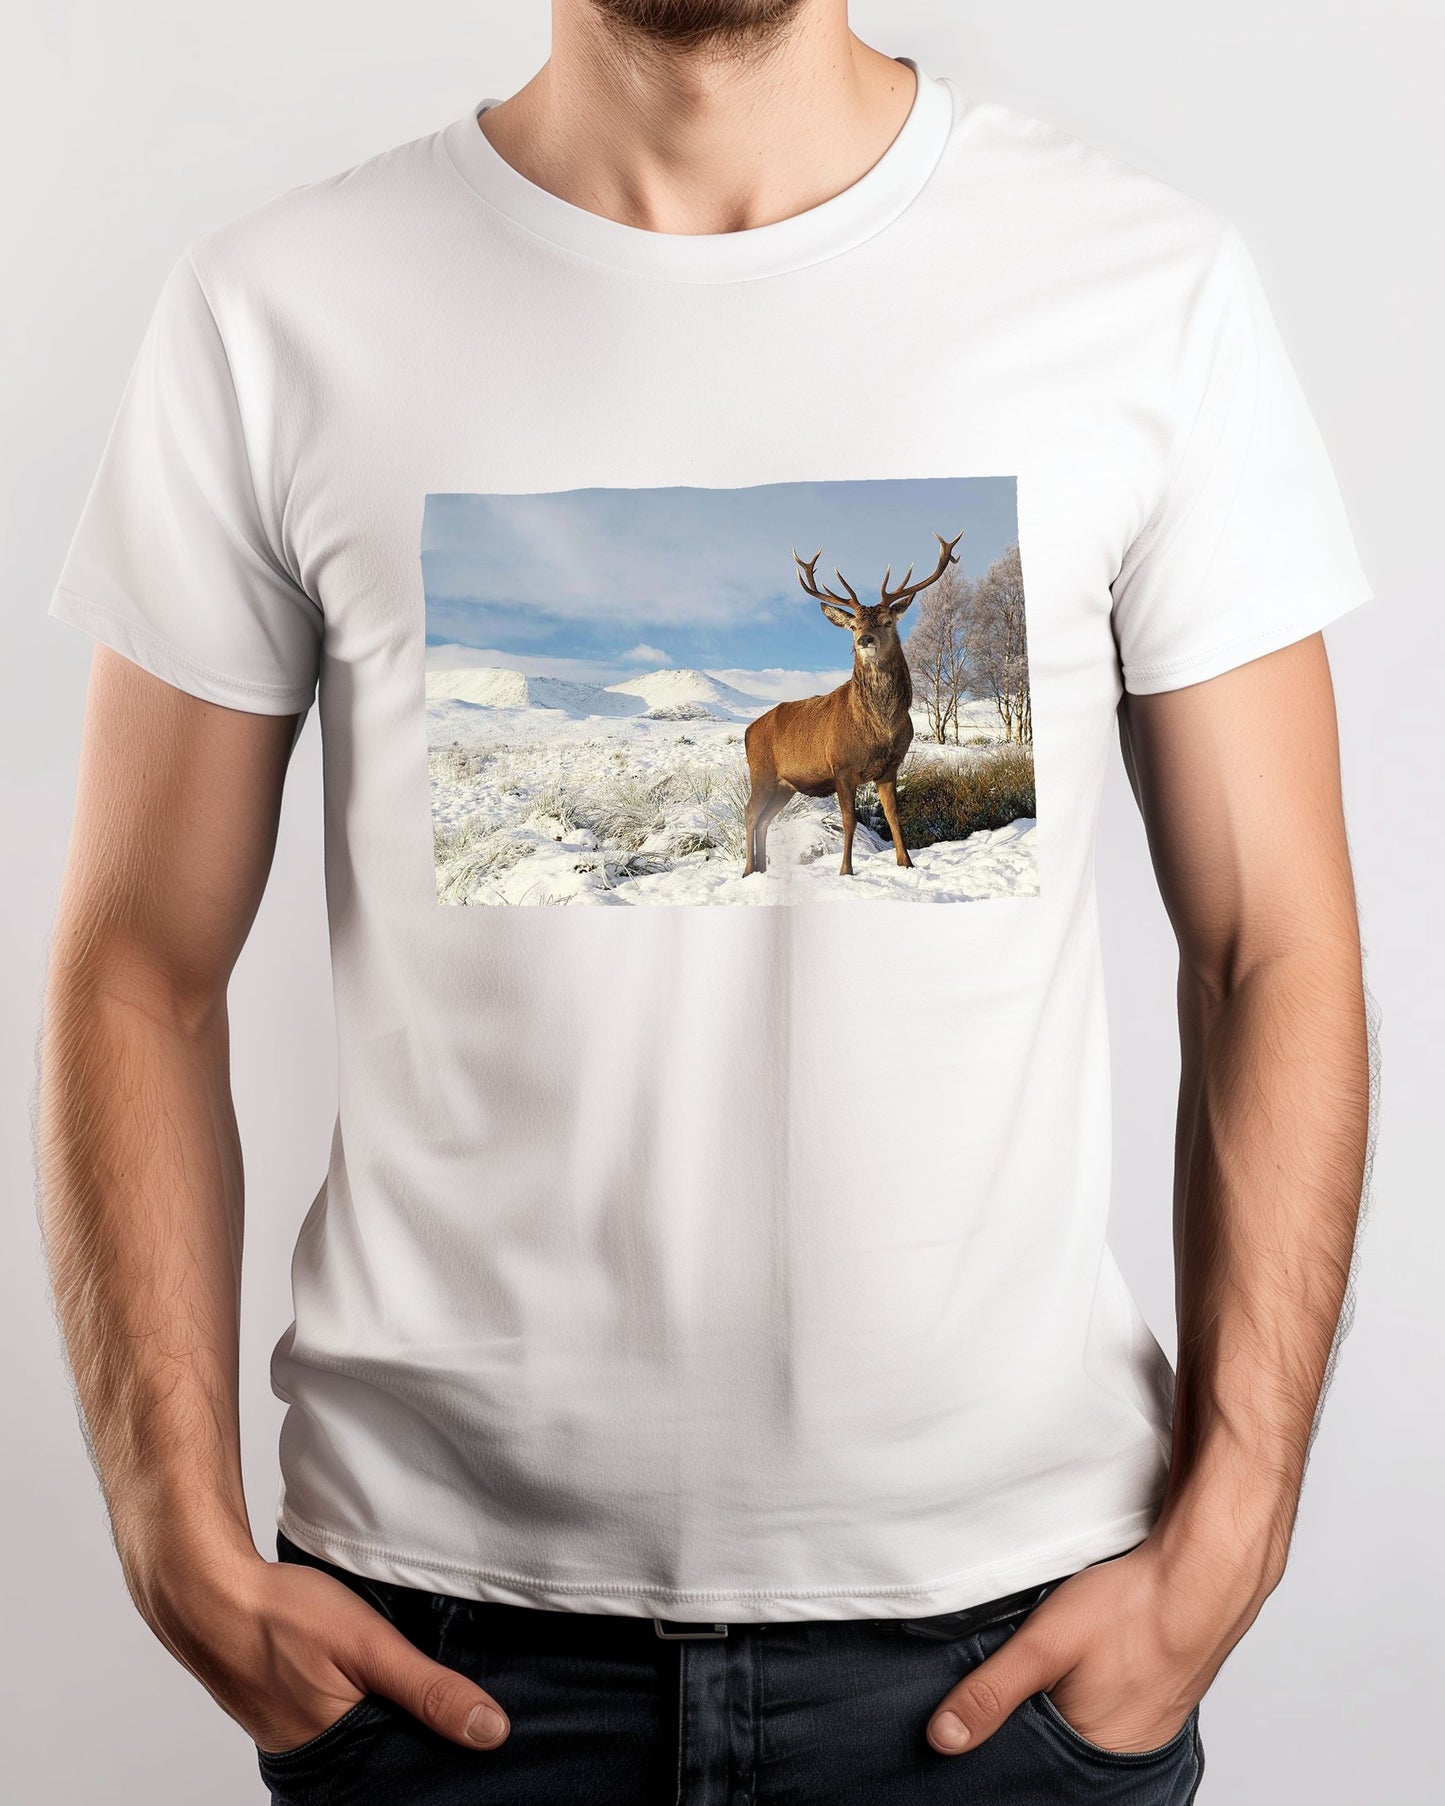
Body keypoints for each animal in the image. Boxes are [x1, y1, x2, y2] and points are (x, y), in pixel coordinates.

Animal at [742, 530, 963, 878]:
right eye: (854, 625)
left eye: (887, 621)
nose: (864, 640)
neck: (880, 729)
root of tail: (748, 731)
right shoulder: (841, 767)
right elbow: (849, 821)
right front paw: (846, 870)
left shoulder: (890, 768)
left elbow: (893, 816)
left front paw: (906, 862)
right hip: (761, 772)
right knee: (750, 814)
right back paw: (749, 870)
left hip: (784, 785)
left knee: (765, 819)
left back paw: (764, 869)